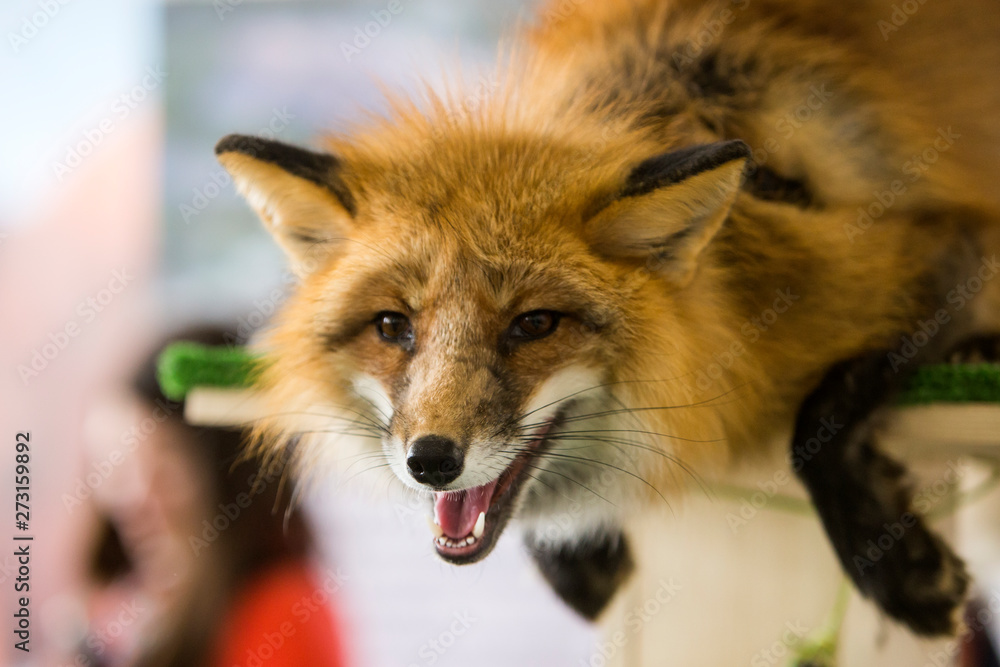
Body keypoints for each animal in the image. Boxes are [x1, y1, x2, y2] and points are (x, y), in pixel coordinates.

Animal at [214, 0, 1000, 637]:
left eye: (534, 325)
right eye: (391, 326)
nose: (431, 461)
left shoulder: (937, 253)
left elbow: (818, 418)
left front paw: (896, 571)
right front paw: (577, 557)